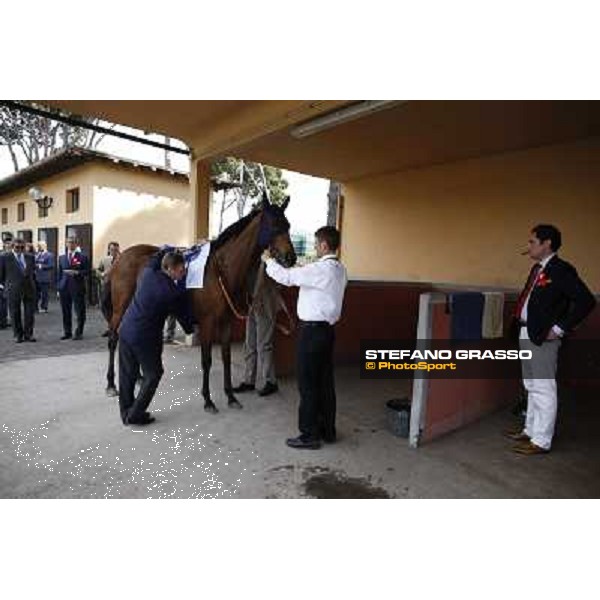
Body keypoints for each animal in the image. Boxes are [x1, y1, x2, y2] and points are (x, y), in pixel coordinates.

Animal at [102, 195, 296, 414]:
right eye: (273, 225)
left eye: (287, 225)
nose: (291, 258)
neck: (220, 270)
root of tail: (119, 259)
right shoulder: (207, 323)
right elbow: (207, 360)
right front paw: (208, 400)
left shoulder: (226, 322)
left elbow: (226, 358)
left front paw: (230, 396)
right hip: (120, 309)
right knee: (114, 339)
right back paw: (111, 384)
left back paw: (139, 377)